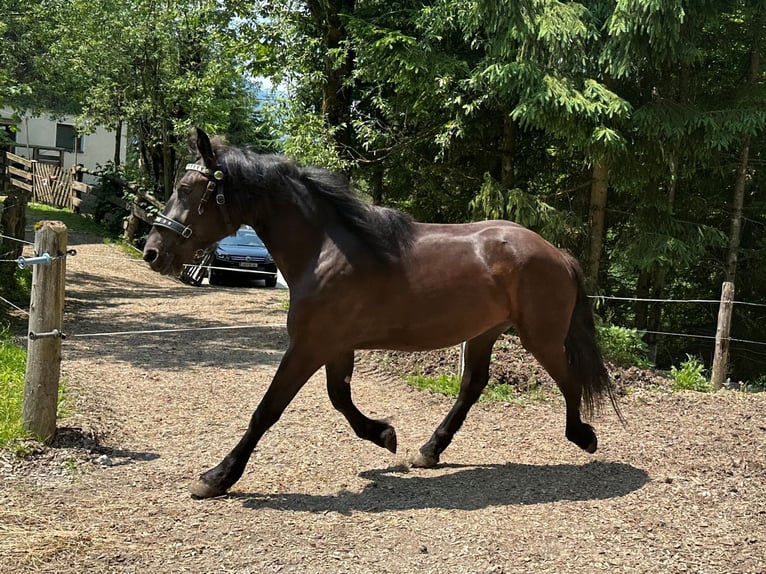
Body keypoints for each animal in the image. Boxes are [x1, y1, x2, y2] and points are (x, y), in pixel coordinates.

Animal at [142, 127, 624, 500]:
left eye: (186, 190)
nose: (152, 251)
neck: (325, 249)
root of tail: (557, 253)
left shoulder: (309, 345)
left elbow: (268, 410)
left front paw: (217, 477)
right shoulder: (334, 346)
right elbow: (340, 398)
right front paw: (384, 436)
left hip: (539, 336)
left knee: (568, 380)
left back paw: (583, 436)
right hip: (485, 332)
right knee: (472, 387)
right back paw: (429, 450)